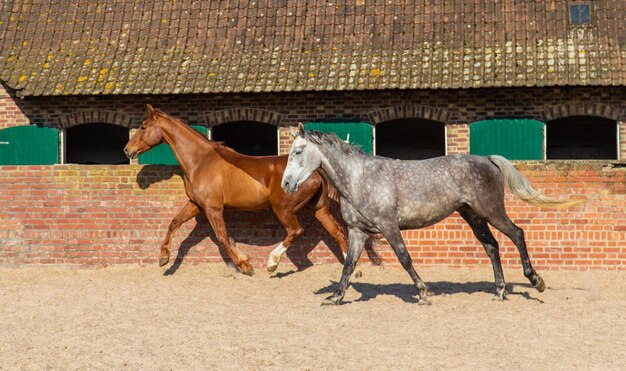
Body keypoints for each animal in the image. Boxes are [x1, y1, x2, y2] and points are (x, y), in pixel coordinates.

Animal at [122, 105, 346, 276]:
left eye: (143, 127)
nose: (127, 150)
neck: (201, 162)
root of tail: (316, 170)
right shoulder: (196, 205)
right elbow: (174, 223)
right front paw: (163, 258)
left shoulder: (213, 209)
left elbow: (222, 238)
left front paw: (246, 266)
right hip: (319, 208)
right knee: (338, 232)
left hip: (283, 209)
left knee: (296, 231)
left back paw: (272, 263)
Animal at [280, 125, 584, 306]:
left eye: (299, 151)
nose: (286, 184)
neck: (358, 179)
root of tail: (487, 159)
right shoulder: (357, 232)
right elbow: (348, 265)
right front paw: (335, 297)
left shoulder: (389, 227)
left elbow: (404, 258)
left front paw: (423, 292)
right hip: (473, 217)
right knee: (492, 247)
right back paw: (500, 291)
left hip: (492, 212)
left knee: (517, 234)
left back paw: (536, 281)